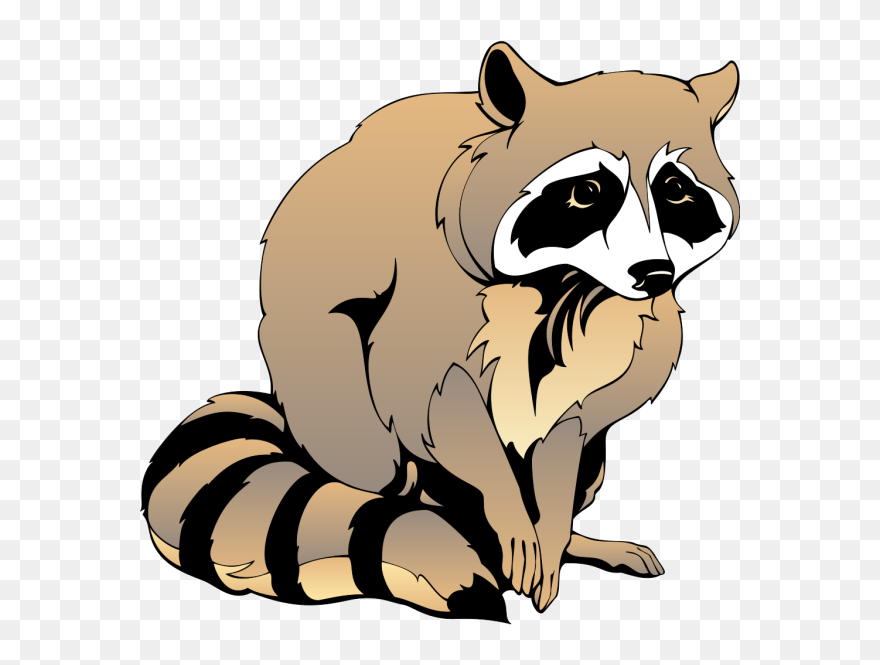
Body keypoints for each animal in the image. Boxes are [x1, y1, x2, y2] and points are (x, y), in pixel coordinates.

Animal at [142, 42, 740, 621]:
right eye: (587, 191)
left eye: (674, 190)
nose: (655, 275)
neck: (562, 285)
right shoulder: (426, 297)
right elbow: (437, 404)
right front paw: (509, 511)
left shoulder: (616, 335)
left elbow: (568, 427)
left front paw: (549, 531)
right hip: (325, 388)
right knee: (363, 425)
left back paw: (567, 538)